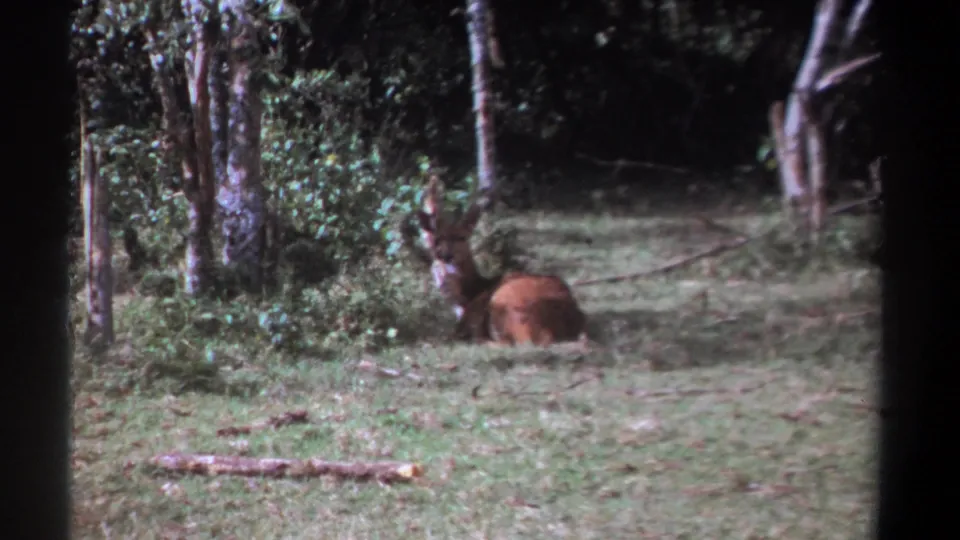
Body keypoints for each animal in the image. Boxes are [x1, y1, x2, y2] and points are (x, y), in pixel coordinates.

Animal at [414, 176, 588, 346]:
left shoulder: (473, 316)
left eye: (461, 237)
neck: (472, 290)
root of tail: (549, 332)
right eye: (436, 239)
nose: (446, 256)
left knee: (504, 341)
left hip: (504, 300)